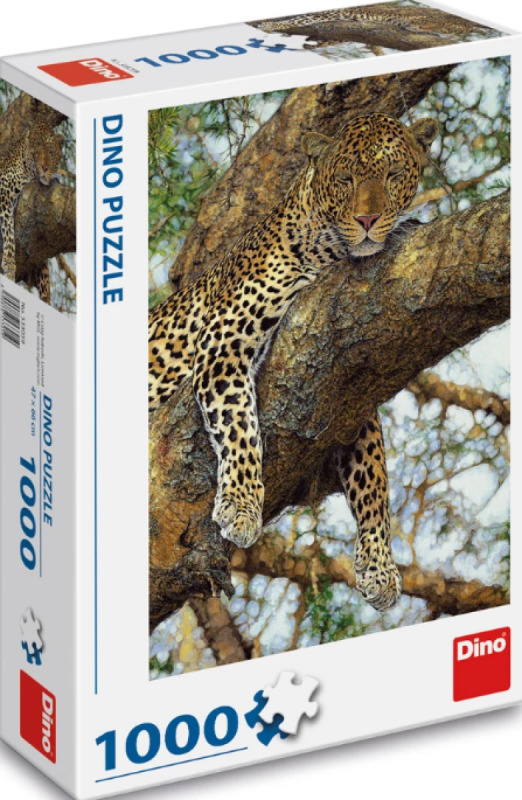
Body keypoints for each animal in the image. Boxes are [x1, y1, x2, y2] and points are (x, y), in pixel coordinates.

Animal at [0, 122, 64, 304]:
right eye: (37, 150)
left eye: (51, 153)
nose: (44, 167)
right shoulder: (4, 190)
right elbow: (8, 229)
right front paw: (9, 263)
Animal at [149, 112, 438, 612]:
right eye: (345, 179)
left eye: (393, 175)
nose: (368, 220)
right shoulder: (224, 342)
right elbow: (241, 428)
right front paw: (241, 505)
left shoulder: (350, 394)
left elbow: (374, 477)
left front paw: (379, 565)